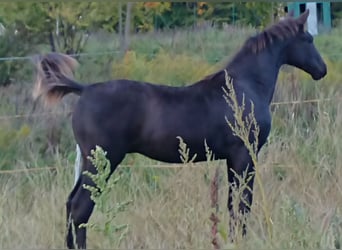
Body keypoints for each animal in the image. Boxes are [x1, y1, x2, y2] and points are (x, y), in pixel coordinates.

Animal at [32, 9, 326, 248]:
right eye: (309, 40)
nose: (321, 70)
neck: (244, 86)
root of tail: (84, 89)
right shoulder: (245, 155)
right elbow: (241, 204)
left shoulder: (232, 159)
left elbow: (233, 204)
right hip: (102, 160)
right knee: (80, 208)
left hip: (89, 162)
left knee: (71, 205)